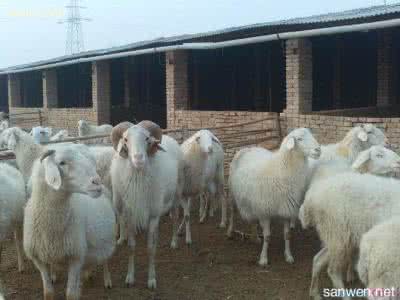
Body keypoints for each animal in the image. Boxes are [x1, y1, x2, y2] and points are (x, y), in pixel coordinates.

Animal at [24, 146, 115, 298]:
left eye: (91, 161)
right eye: (62, 162)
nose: (97, 182)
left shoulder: (75, 258)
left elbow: (71, 294)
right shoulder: (39, 260)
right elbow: (48, 293)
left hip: (105, 241)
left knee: (105, 259)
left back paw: (107, 280)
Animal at [110, 120, 184, 290]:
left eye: (147, 139)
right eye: (125, 139)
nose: (138, 159)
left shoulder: (153, 216)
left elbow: (151, 249)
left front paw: (151, 279)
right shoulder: (130, 216)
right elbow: (131, 246)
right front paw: (130, 277)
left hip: (176, 194)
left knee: (175, 218)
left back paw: (174, 242)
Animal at [228, 127, 322, 266]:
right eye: (299, 139)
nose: (318, 150)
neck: (281, 169)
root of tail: (247, 148)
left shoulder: (286, 210)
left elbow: (287, 235)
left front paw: (288, 256)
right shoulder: (264, 211)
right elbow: (267, 236)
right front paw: (263, 259)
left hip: (252, 200)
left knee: (252, 219)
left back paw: (255, 237)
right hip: (233, 193)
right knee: (232, 212)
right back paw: (229, 231)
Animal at [302, 148, 400, 300]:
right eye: (379, 155)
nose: (398, 161)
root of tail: (311, 197)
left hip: (335, 237)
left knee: (317, 260)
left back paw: (315, 293)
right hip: (337, 234)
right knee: (332, 271)